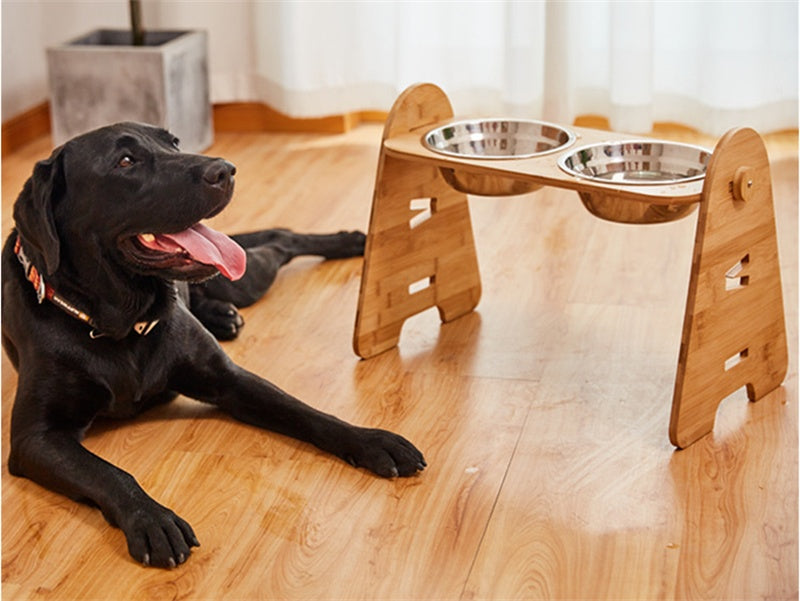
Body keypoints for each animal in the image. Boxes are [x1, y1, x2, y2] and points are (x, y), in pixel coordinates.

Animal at [1, 122, 424, 568]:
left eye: (173, 142)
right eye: (126, 161)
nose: (225, 170)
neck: (120, 323)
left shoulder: (230, 380)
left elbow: (306, 412)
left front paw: (372, 441)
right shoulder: (36, 437)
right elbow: (107, 472)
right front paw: (152, 518)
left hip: (243, 278)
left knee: (281, 239)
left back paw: (346, 242)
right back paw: (222, 314)